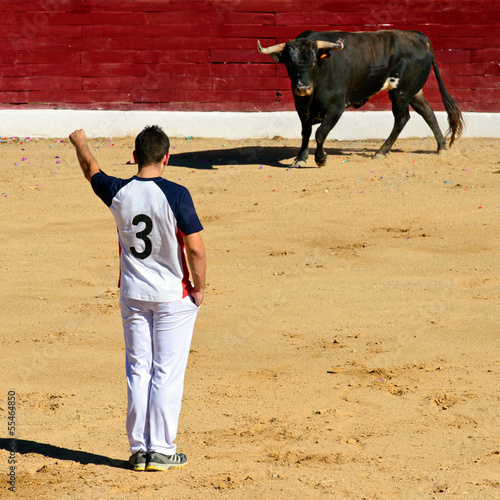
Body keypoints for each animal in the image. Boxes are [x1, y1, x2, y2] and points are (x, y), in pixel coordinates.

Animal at [258, 29, 464, 166]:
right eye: (289, 64)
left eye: (315, 61)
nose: (303, 87)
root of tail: (418, 36)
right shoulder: (300, 106)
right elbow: (305, 133)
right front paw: (300, 158)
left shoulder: (336, 107)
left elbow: (320, 133)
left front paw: (321, 159)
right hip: (413, 91)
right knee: (428, 112)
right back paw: (441, 148)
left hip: (400, 93)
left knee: (402, 118)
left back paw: (381, 152)